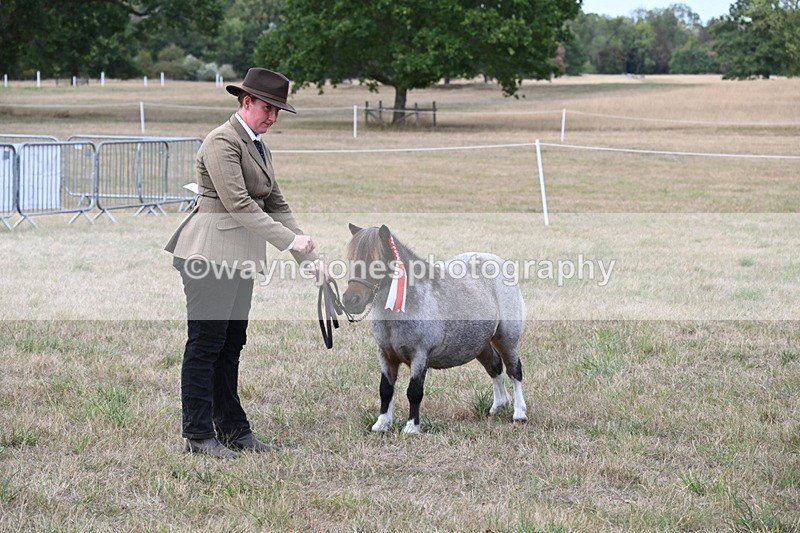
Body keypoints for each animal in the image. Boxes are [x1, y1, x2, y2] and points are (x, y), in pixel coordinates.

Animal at [342, 223, 528, 434]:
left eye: (377, 262)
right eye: (352, 260)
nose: (351, 300)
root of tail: (498, 261)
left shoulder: (420, 355)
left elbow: (414, 392)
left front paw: (411, 427)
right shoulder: (386, 355)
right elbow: (385, 390)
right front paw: (381, 424)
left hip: (507, 339)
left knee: (515, 370)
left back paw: (519, 413)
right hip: (481, 344)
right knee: (495, 366)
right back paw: (498, 406)